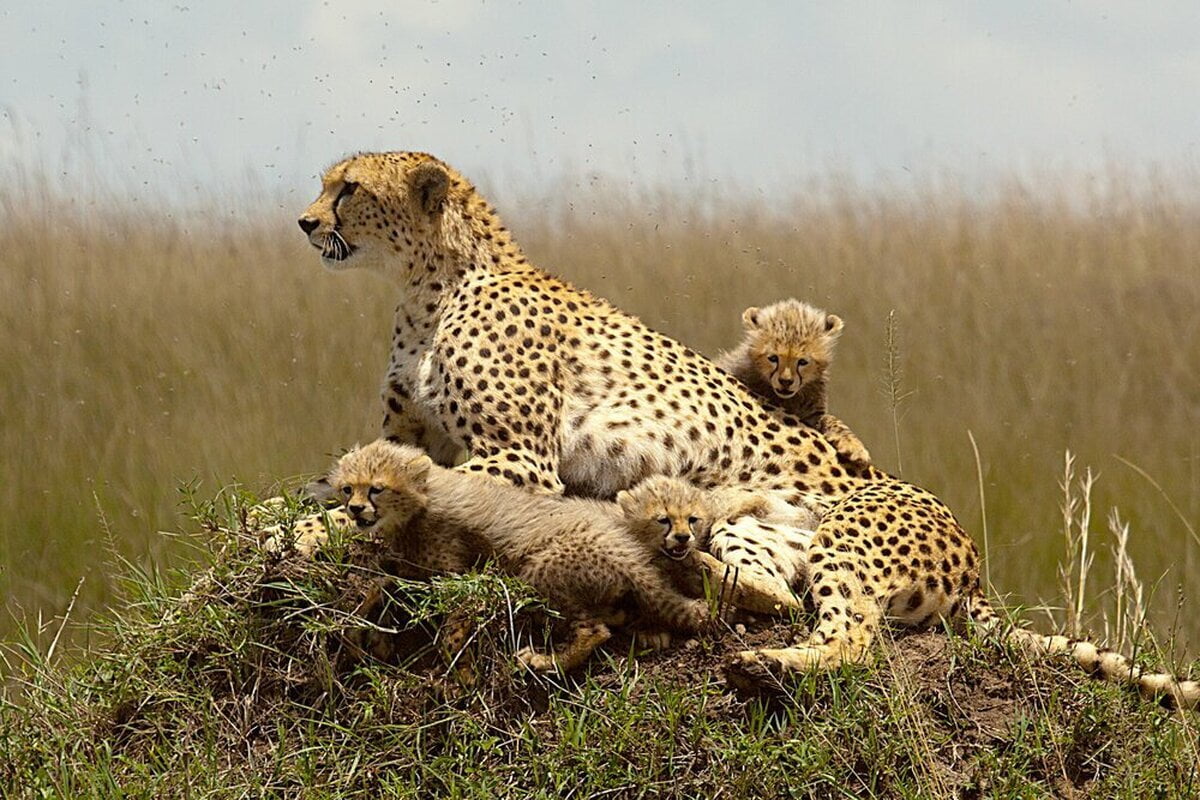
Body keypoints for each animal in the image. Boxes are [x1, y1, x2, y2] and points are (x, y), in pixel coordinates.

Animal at [295, 151, 1195, 705]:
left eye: (348, 188)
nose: (305, 223)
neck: (427, 283)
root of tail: (975, 570)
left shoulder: (517, 458)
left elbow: (355, 504)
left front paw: (304, 533)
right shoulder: (415, 441)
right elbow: (342, 482)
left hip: (848, 534)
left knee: (848, 634)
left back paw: (761, 656)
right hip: (760, 531)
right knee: (774, 592)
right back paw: (683, 568)